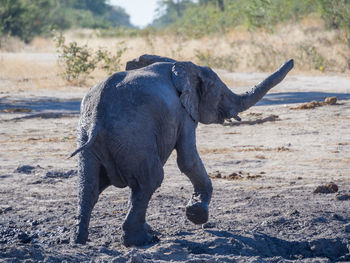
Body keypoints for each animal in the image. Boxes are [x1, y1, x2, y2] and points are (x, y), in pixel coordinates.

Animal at [69, 53, 294, 248]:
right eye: (221, 94)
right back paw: (142, 240)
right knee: (150, 180)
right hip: (132, 135)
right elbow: (188, 159)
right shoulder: (184, 113)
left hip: (89, 136)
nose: (291, 60)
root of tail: (98, 116)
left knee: (89, 187)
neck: (181, 65)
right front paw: (196, 214)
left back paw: (79, 241)